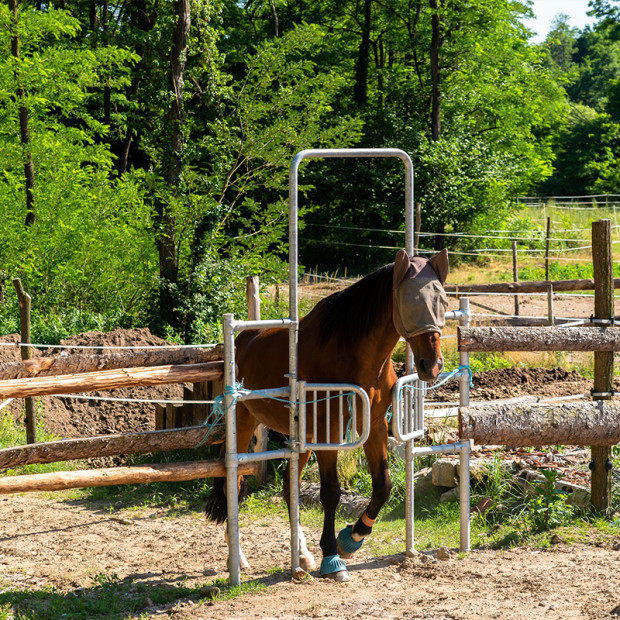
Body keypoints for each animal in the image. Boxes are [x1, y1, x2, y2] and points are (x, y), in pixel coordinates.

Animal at [206, 247, 448, 580]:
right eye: (411, 301)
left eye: (444, 301)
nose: (431, 365)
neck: (353, 355)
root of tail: (239, 341)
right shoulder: (328, 433)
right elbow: (331, 492)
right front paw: (332, 556)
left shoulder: (372, 427)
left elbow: (383, 485)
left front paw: (353, 538)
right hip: (243, 425)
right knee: (236, 484)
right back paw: (239, 558)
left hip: (301, 437)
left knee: (289, 489)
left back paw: (302, 556)